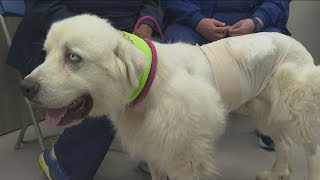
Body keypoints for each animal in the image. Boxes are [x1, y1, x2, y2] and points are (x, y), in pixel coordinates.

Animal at [20, 14, 320, 180]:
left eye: (73, 57)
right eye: (46, 53)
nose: (25, 87)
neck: (148, 83)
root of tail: (297, 43)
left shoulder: (185, 157)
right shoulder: (155, 149)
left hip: (298, 110)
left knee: (311, 150)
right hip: (263, 110)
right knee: (284, 143)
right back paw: (277, 172)